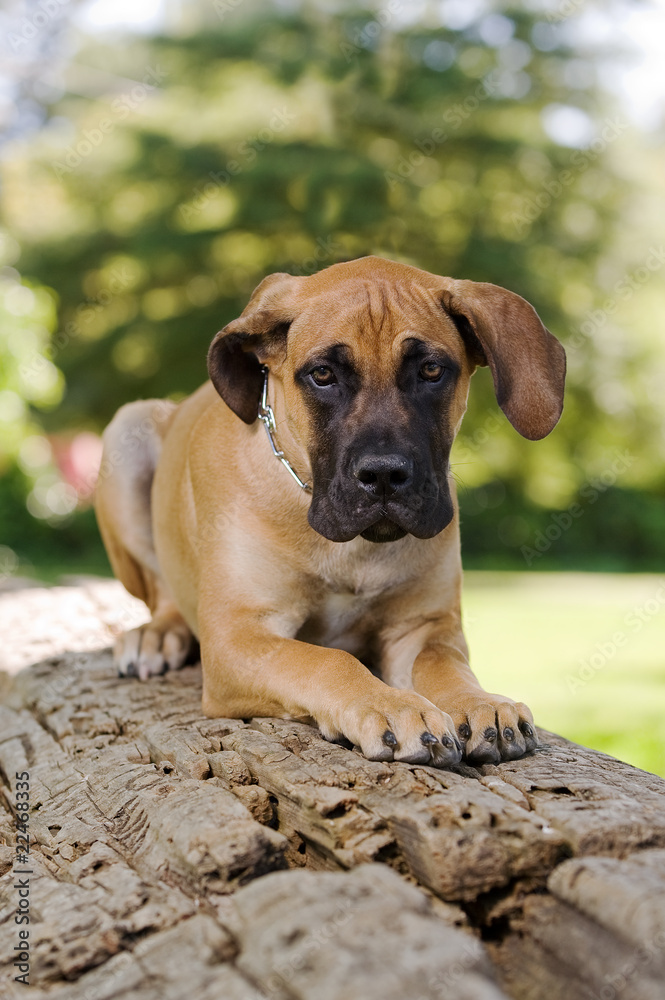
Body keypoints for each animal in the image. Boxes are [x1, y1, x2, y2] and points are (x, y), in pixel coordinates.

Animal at [96, 256, 564, 764]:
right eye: (322, 375)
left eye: (431, 370)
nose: (384, 475)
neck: (353, 548)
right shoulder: (238, 636)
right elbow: (324, 659)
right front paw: (393, 704)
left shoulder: (422, 627)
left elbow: (443, 663)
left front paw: (478, 702)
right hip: (126, 432)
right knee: (161, 590)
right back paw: (156, 633)